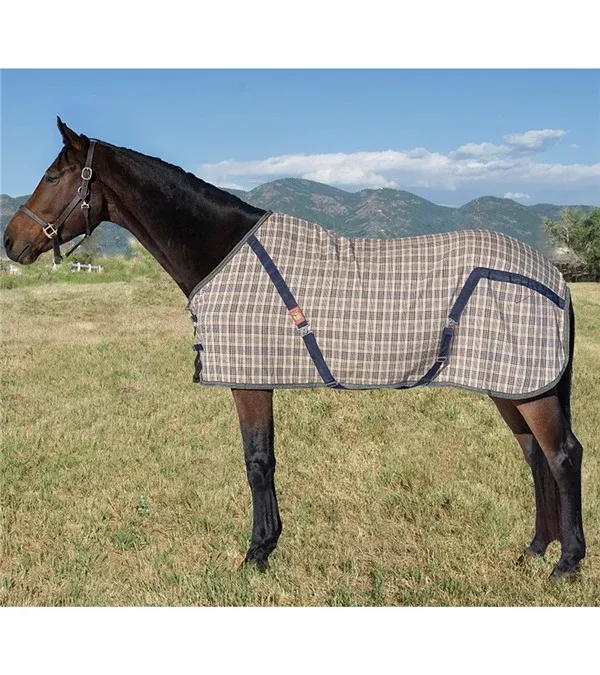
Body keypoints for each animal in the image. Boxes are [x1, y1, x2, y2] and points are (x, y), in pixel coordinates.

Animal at [3, 118, 586, 581]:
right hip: (508, 384)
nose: (10, 242)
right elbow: (263, 459)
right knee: (533, 454)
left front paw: (256, 554)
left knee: (562, 455)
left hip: (528, 388)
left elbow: (258, 461)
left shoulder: (249, 378)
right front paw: (266, 546)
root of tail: (554, 275)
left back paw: (567, 562)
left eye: (51, 177)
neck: (223, 250)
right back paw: (535, 549)